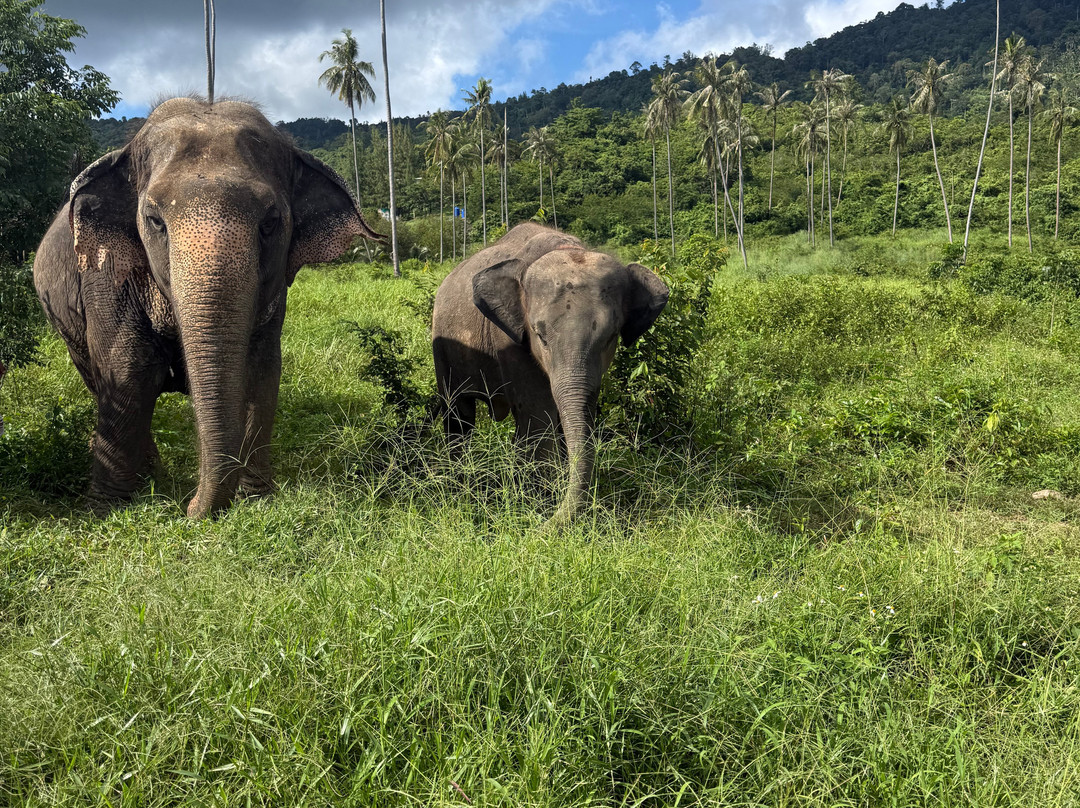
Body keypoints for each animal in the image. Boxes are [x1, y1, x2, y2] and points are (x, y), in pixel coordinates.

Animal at [33, 97, 382, 517]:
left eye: (270, 222)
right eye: (154, 221)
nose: (191, 506)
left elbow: (259, 372)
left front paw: (257, 501)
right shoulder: (105, 276)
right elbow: (127, 371)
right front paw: (105, 510)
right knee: (98, 377)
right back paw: (150, 477)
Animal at [432, 222, 669, 524]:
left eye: (611, 337)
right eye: (539, 335)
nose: (544, 527)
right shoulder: (509, 339)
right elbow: (538, 416)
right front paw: (538, 507)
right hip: (442, 346)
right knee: (459, 414)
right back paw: (458, 487)